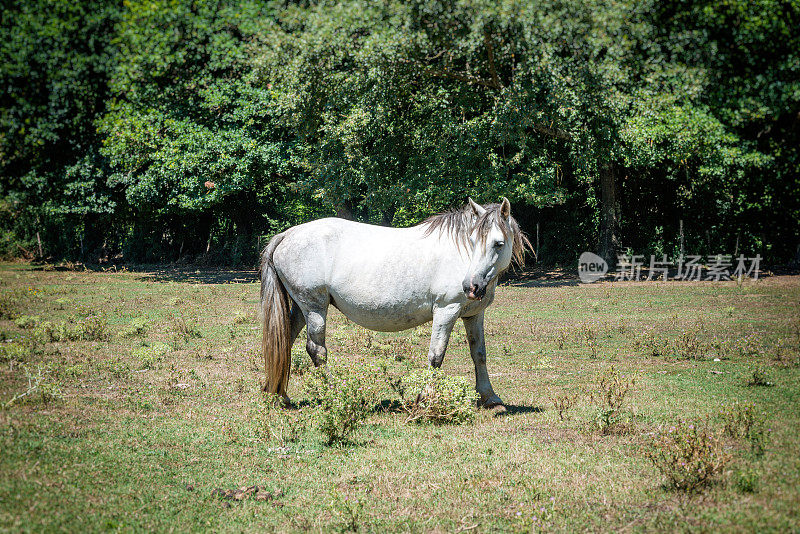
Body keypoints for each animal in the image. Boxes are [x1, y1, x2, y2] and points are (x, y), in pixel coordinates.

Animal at [258, 199, 532, 408]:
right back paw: (330, 395)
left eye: (498, 243)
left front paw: (490, 398)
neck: (460, 256)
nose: (471, 286)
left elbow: (479, 354)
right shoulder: (446, 311)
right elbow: (436, 355)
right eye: (473, 242)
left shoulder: (474, 315)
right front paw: (425, 399)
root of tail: (287, 234)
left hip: (301, 308)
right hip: (314, 308)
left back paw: (278, 395)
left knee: (285, 342)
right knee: (317, 351)